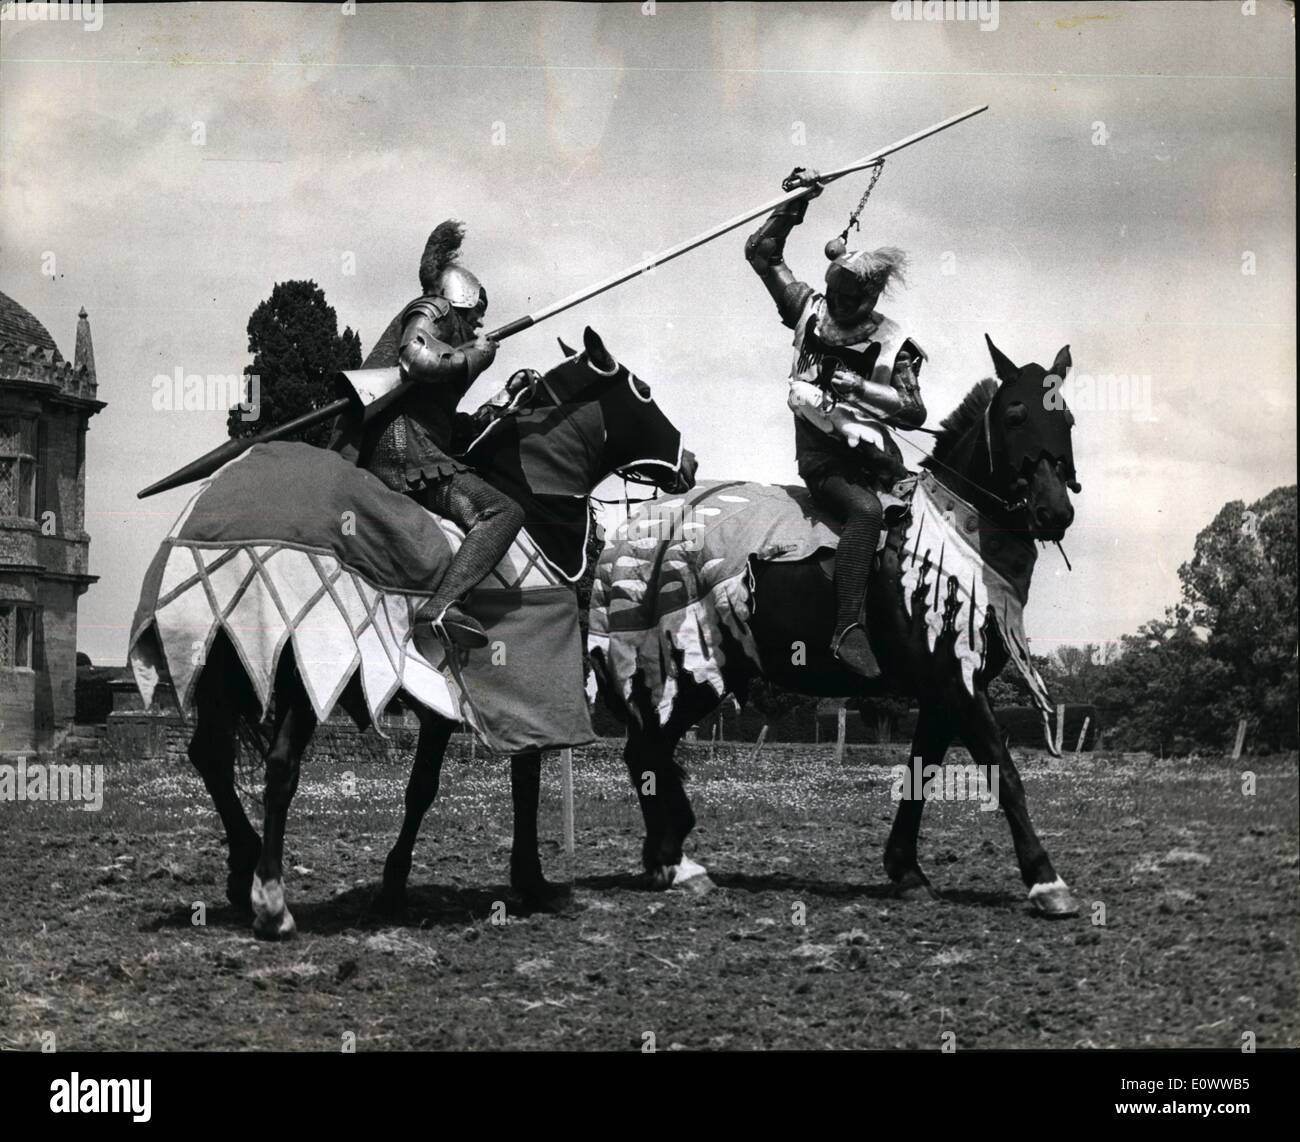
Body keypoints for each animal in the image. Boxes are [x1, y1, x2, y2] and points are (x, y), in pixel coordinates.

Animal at [146, 329, 696, 936]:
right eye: (642, 390)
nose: (690, 463)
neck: (532, 502)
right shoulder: (507, 687)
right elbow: (511, 779)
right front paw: (529, 883)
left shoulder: (444, 700)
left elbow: (425, 788)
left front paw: (394, 890)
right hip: (302, 662)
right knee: (280, 764)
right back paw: (271, 899)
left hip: (216, 654)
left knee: (210, 756)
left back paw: (243, 873)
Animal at [585, 338, 1081, 920]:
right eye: (1015, 415)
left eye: (1067, 419)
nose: (1054, 512)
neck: (953, 535)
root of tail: (631, 531)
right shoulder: (956, 683)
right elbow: (1005, 774)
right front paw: (1046, 881)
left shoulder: (942, 695)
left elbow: (920, 776)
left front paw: (906, 871)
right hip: (686, 668)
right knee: (646, 752)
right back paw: (677, 863)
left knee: (649, 751)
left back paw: (667, 858)